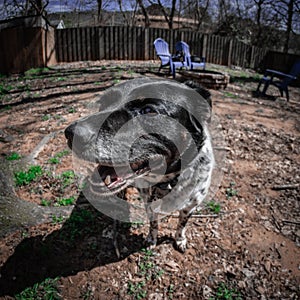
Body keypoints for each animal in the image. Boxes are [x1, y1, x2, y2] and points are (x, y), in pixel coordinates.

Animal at [65, 78, 214, 252]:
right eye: (104, 104)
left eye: (148, 110)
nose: (71, 134)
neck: (168, 181)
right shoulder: (148, 201)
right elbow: (153, 222)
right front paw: (151, 239)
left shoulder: (190, 206)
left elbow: (182, 224)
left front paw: (180, 239)